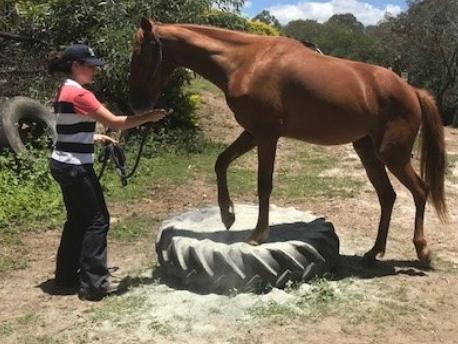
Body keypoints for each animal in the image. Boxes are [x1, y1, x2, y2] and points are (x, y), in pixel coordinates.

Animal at [129, 18, 448, 264]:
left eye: (141, 53)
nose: (137, 105)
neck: (246, 61)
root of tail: (412, 90)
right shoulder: (253, 132)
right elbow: (221, 162)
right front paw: (227, 215)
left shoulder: (267, 135)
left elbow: (264, 185)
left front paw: (258, 235)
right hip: (368, 152)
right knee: (388, 196)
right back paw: (374, 252)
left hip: (393, 155)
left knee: (420, 191)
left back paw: (422, 251)